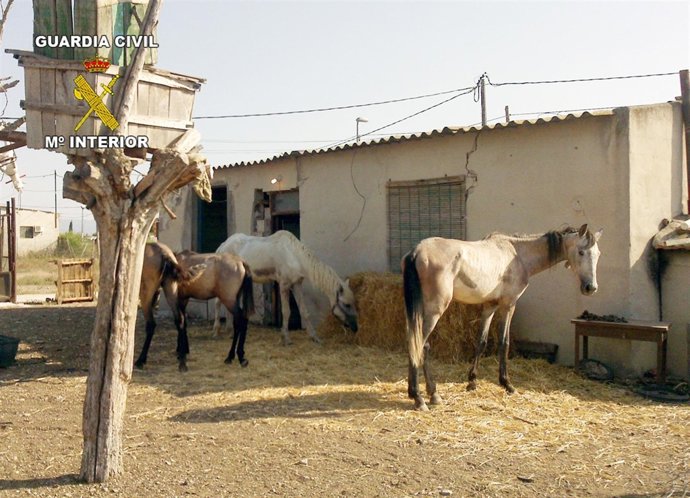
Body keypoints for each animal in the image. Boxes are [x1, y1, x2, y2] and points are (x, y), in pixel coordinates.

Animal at [135, 242, 255, 372]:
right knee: (242, 320)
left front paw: (181, 352)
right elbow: (183, 322)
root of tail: (241, 262)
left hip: (229, 300)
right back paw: (236, 356)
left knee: (240, 320)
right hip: (235, 299)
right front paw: (183, 351)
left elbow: (181, 323)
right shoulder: (183, 299)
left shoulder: (180, 299)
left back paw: (235, 357)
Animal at [213, 230, 358, 345]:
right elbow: (286, 311)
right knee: (218, 302)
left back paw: (231, 331)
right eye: (346, 304)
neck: (294, 256)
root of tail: (223, 245)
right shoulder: (284, 285)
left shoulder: (296, 284)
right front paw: (286, 339)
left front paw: (315, 337)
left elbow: (304, 311)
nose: (355, 328)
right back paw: (216, 332)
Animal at [402, 224, 602, 411]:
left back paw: (429, 394)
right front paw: (507, 383)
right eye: (581, 251)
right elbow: (504, 342)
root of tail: (416, 252)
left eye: (598, 254)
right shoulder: (508, 305)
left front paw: (472, 382)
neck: (518, 254)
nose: (591, 288)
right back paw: (420, 397)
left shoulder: (490, 306)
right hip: (434, 310)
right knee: (421, 344)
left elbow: (481, 342)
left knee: (418, 344)